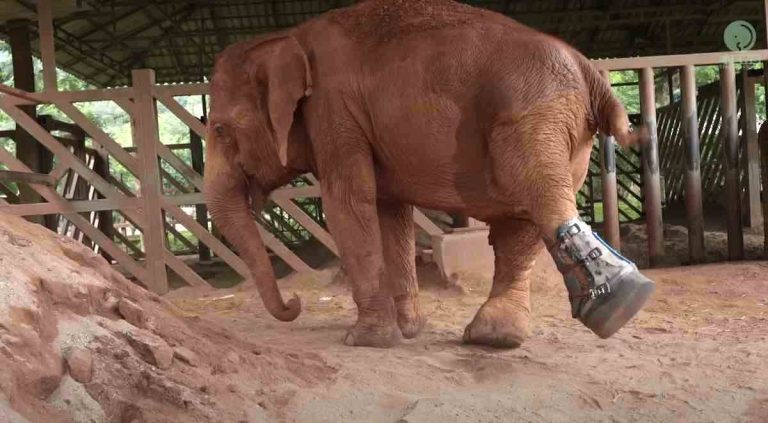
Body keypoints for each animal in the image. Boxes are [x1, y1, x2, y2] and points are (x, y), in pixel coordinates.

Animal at [203, 0, 655, 349]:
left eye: (220, 130)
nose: (295, 303)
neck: (286, 38)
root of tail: (589, 70)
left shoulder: (335, 113)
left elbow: (348, 202)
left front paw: (364, 340)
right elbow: (389, 213)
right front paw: (409, 331)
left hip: (534, 117)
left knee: (539, 200)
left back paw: (620, 302)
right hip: (566, 135)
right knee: (521, 223)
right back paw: (495, 337)